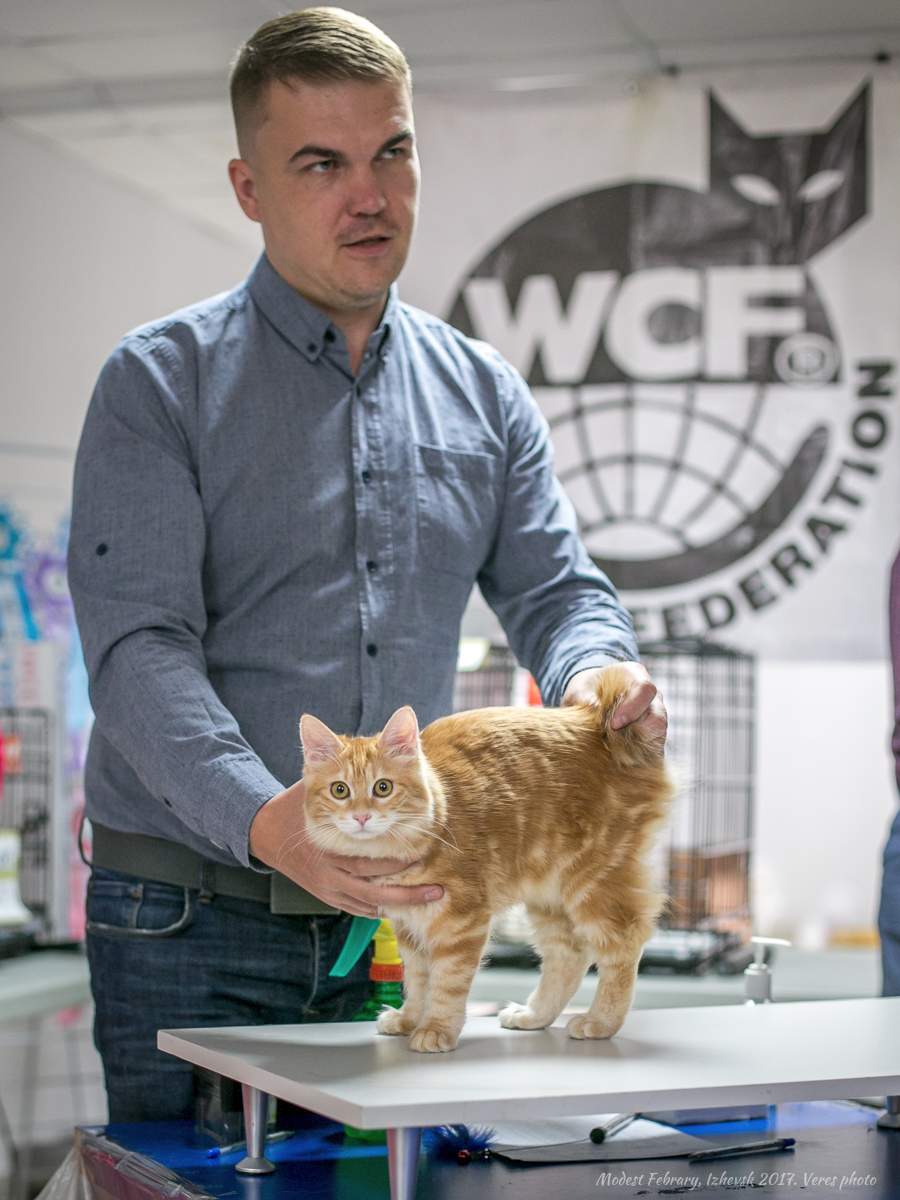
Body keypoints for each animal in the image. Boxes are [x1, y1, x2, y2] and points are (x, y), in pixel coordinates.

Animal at [298, 663, 674, 1053]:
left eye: (382, 788)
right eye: (340, 790)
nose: (361, 817)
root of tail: (594, 720)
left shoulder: (461, 922)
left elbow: (446, 985)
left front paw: (436, 1029)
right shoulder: (409, 929)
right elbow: (417, 981)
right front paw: (409, 1018)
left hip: (594, 882)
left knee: (623, 948)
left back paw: (600, 1021)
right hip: (549, 896)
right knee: (569, 956)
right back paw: (533, 1015)